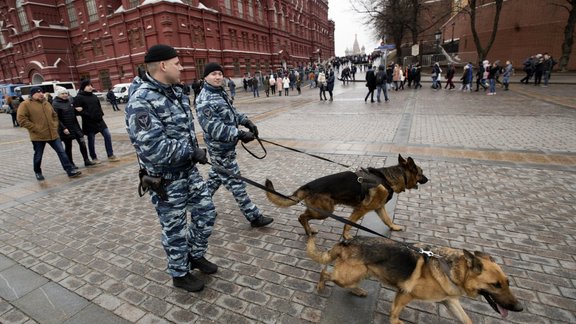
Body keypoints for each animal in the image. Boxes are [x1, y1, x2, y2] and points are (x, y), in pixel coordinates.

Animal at [266, 154, 428, 240]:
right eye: (421, 172)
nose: (428, 179)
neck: (388, 179)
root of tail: (308, 185)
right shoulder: (361, 209)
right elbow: (349, 223)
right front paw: (346, 236)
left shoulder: (379, 208)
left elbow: (387, 220)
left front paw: (393, 227)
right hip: (325, 211)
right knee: (302, 216)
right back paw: (309, 231)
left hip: (320, 210)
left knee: (303, 217)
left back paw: (309, 230)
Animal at [308, 235, 524, 324]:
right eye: (495, 285)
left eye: (508, 283)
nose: (520, 308)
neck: (450, 268)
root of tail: (347, 241)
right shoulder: (405, 294)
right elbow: (394, 314)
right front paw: (395, 322)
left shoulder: (450, 301)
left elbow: (467, 320)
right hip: (348, 275)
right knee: (325, 272)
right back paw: (320, 286)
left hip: (363, 273)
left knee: (345, 281)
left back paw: (358, 290)